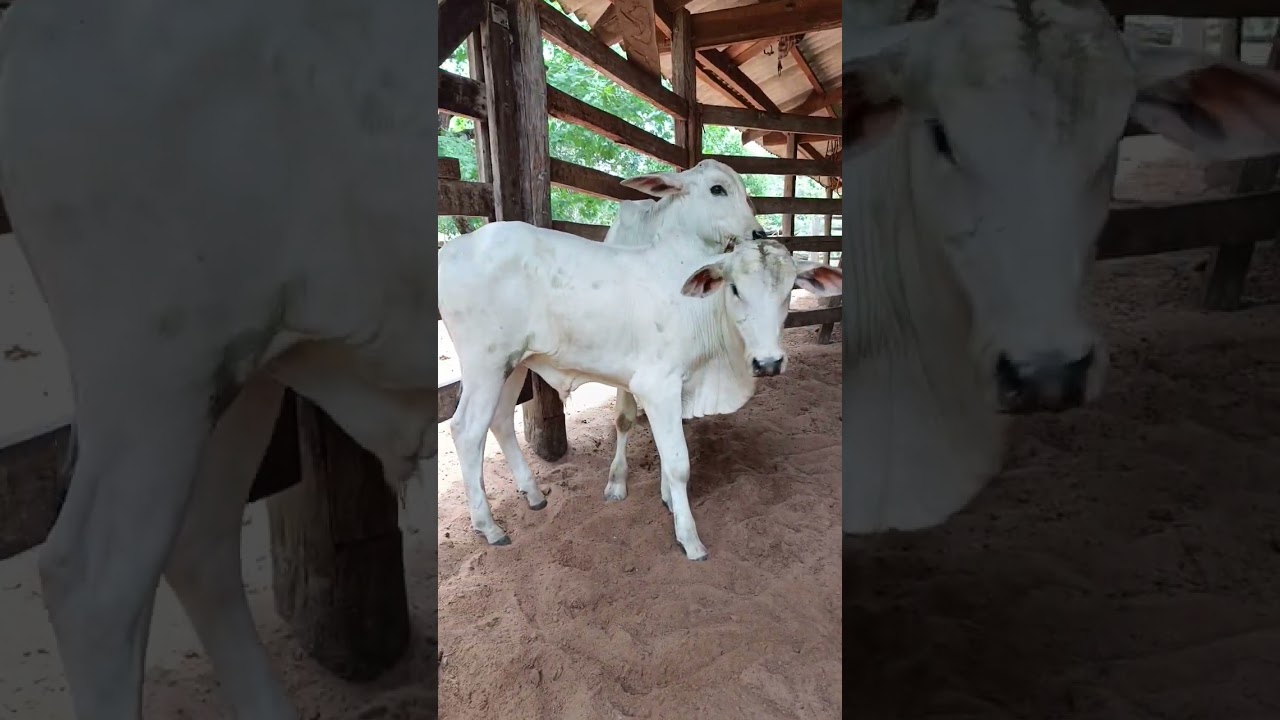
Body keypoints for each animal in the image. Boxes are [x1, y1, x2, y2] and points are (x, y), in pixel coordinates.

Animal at [437, 160, 843, 562]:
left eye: (788, 291)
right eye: (736, 289)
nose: (769, 362)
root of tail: (452, 249)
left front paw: (668, 501)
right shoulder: (656, 385)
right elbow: (678, 462)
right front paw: (689, 538)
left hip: (514, 363)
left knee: (500, 420)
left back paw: (533, 494)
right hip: (485, 364)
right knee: (466, 430)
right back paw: (489, 526)